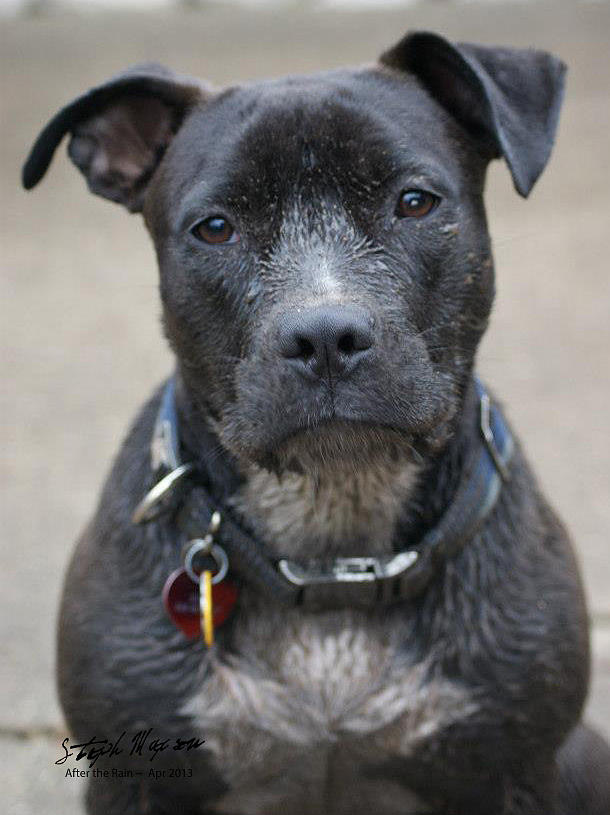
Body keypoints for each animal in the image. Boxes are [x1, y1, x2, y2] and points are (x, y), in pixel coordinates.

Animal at [21, 30, 608, 815]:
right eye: (215, 228)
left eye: (414, 202)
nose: (325, 335)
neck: (335, 550)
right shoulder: (132, 781)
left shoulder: (517, 770)